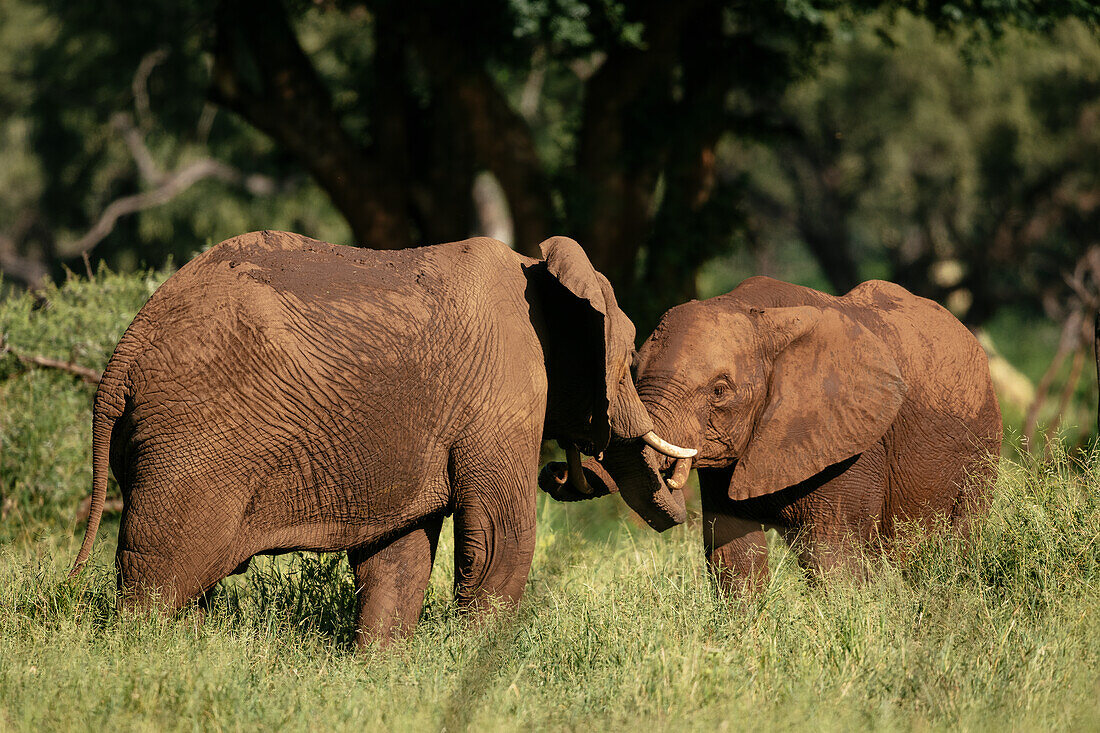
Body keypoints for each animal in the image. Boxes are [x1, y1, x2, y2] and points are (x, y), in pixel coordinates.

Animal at [66, 230, 695, 647]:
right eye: (628, 357)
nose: (563, 472)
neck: (536, 267)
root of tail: (123, 354)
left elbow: (400, 550)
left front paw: (379, 664)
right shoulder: (503, 389)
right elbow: (501, 531)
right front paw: (472, 654)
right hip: (195, 437)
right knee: (166, 566)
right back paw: (142, 652)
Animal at [543, 277, 1007, 589]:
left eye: (719, 391)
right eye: (634, 372)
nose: (556, 472)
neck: (762, 316)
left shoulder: (852, 443)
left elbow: (833, 558)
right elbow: (733, 555)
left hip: (981, 448)